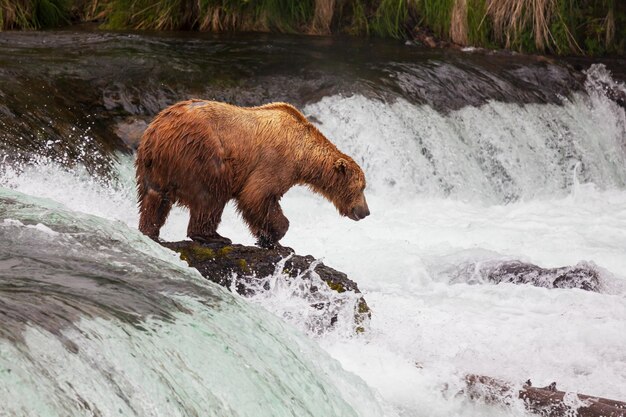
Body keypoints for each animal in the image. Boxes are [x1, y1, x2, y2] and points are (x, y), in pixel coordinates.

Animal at [135, 98, 368, 247]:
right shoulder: (276, 161)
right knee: (211, 195)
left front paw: (266, 237)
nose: (365, 211)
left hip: (153, 167)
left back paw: (151, 231)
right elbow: (257, 195)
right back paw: (214, 236)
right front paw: (273, 236)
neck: (302, 153)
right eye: (361, 187)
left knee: (154, 199)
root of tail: (158, 131)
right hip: (202, 154)